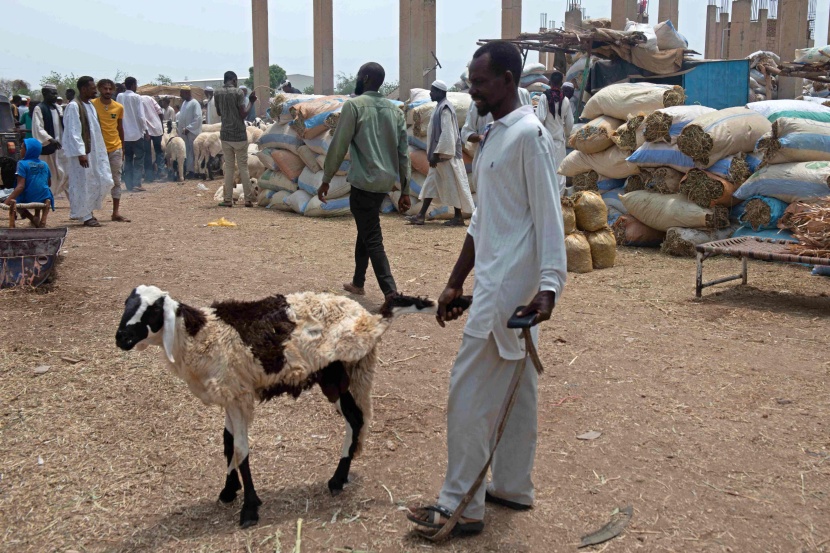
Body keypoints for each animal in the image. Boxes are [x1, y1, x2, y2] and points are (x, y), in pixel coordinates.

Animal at [114, 284, 472, 528]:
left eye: (151, 312)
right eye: (128, 305)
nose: (120, 339)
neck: (201, 334)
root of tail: (372, 317)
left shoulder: (239, 395)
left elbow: (241, 450)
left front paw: (249, 509)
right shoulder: (232, 393)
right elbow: (228, 443)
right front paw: (229, 491)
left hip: (342, 372)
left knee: (356, 421)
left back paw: (337, 480)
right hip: (340, 377)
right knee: (356, 422)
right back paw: (339, 478)